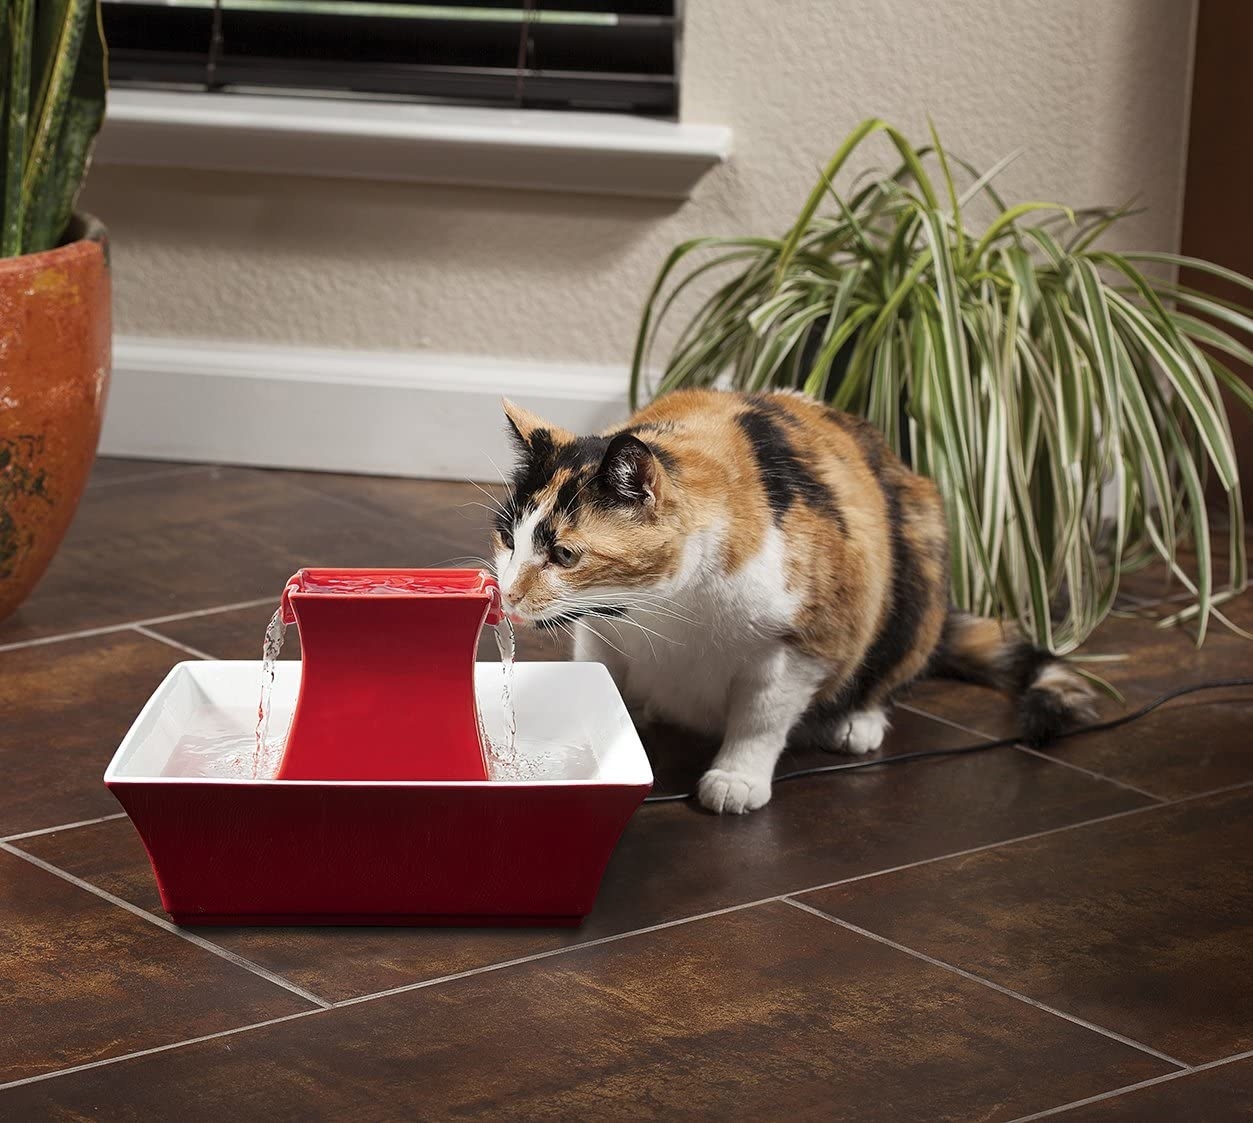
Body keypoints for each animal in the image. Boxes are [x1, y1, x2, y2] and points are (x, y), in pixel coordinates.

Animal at [491, 391, 1097, 812]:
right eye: (507, 537)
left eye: (565, 554)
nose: (509, 593)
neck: (673, 612)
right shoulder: (602, 633)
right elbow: (607, 680)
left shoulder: (808, 640)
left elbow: (762, 715)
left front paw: (737, 779)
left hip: (919, 568)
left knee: (891, 670)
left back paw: (857, 722)